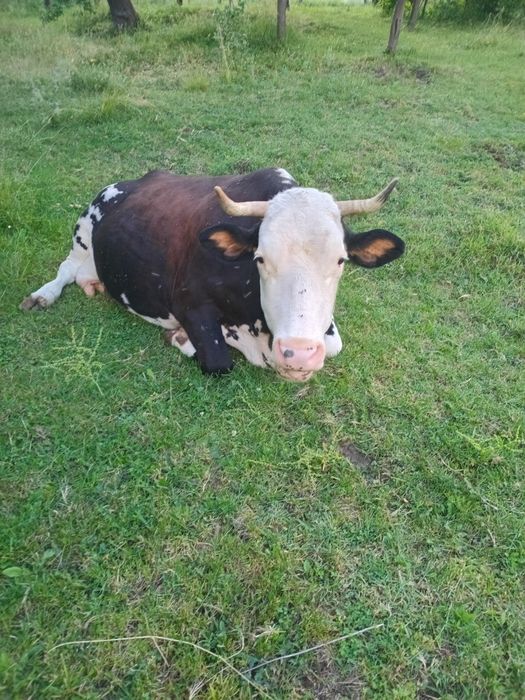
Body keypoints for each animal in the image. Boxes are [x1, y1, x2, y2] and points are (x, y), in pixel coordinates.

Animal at [20, 168, 404, 381]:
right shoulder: (188, 301)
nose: (297, 353)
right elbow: (219, 360)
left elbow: (334, 346)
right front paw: (184, 338)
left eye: (340, 261)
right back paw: (42, 295)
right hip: (84, 231)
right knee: (66, 268)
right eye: (260, 258)